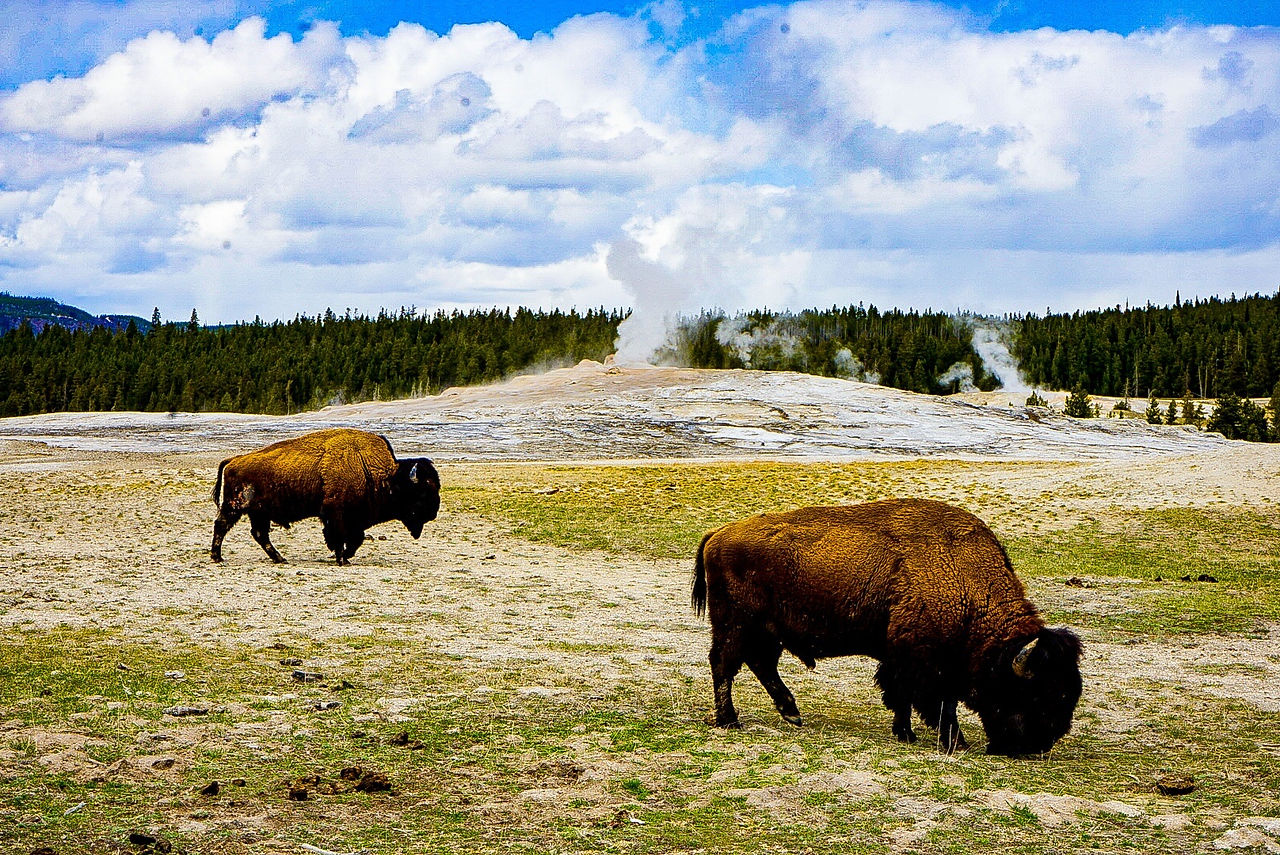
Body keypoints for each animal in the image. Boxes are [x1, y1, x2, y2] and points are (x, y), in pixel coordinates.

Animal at [211, 428, 440, 565]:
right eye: (423, 491)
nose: (433, 513)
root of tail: (234, 460)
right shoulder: (336, 513)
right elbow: (342, 537)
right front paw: (342, 558)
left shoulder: (352, 519)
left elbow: (355, 539)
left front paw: (344, 556)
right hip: (235, 506)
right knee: (222, 525)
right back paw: (217, 557)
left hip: (259, 512)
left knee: (259, 534)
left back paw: (280, 558)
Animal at [692, 499, 1083, 755]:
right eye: (1039, 693)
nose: (1039, 744)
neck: (968, 584)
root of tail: (719, 533)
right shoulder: (925, 662)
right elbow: (935, 702)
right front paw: (955, 742)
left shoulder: (902, 657)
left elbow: (902, 695)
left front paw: (905, 733)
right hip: (736, 625)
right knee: (725, 665)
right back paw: (730, 720)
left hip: (767, 632)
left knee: (760, 665)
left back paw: (792, 713)